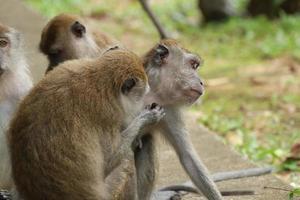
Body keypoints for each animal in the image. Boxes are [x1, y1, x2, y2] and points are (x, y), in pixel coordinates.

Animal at [8, 48, 165, 200]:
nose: (142, 102)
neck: (98, 79)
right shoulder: (109, 113)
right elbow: (109, 162)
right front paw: (146, 118)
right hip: (114, 191)